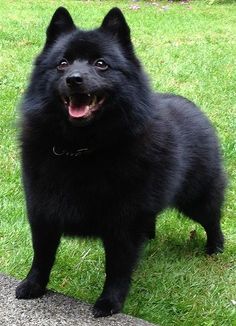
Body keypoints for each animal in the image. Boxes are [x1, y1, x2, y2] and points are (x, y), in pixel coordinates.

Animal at [15, 7, 226, 318]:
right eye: (62, 64)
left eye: (101, 64)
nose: (74, 79)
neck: (80, 149)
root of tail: (194, 107)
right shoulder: (43, 212)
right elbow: (42, 256)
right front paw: (33, 286)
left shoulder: (122, 224)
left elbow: (117, 269)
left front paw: (110, 302)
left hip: (198, 198)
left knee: (212, 220)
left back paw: (215, 249)